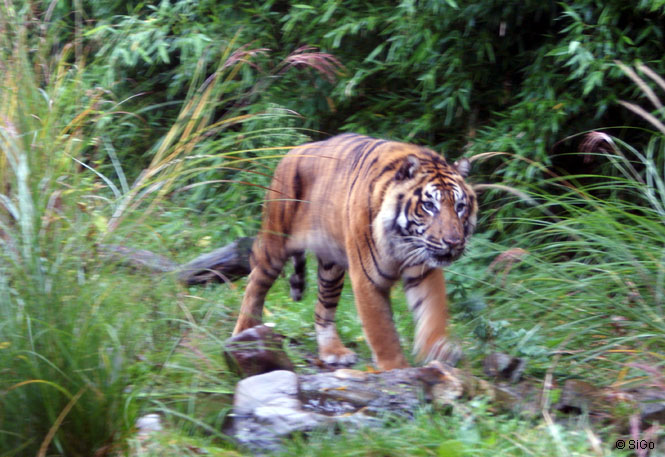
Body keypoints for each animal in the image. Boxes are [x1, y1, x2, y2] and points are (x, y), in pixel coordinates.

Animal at [232, 133, 477, 370]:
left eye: (460, 207)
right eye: (429, 206)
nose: (453, 242)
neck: (404, 241)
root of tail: (292, 151)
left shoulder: (423, 270)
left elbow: (432, 311)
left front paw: (438, 350)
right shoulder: (368, 278)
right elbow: (382, 331)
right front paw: (396, 368)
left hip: (331, 269)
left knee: (322, 308)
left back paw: (333, 352)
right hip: (274, 243)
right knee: (254, 285)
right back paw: (244, 337)